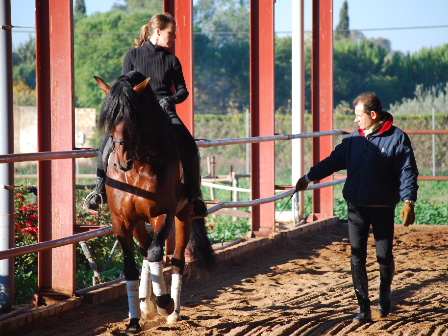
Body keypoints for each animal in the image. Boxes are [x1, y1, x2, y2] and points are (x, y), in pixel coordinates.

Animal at [93, 70, 216, 334]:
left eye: (134, 117)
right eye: (109, 119)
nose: (122, 161)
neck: (138, 166)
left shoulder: (163, 214)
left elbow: (158, 252)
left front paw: (164, 303)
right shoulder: (121, 220)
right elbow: (131, 266)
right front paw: (134, 320)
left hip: (184, 216)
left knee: (175, 259)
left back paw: (173, 313)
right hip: (139, 221)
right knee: (145, 251)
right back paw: (145, 305)